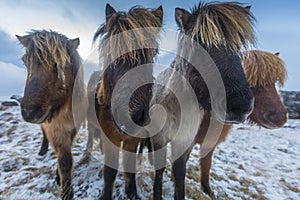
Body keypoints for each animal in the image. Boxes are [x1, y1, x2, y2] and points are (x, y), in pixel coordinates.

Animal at [17, 30, 86, 200]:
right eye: (25, 62)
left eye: (58, 64)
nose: (29, 112)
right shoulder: (55, 131)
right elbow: (64, 160)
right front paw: (66, 192)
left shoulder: (72, 130)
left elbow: (66, 156)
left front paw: (57, 176)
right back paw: (42, 150)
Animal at [94, 3, 164, 199]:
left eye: (154, 52)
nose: (131, 115)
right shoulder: (109, 137)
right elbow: (110, 171)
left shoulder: (134, 139)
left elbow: (130, 166)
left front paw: (132, 193)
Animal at [149, 1, 256, 200]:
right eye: (197, 42)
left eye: (239, 44)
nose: (240, 107)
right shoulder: (159, 137)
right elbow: (159, 170)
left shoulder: (184, 142)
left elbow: (179, 173)